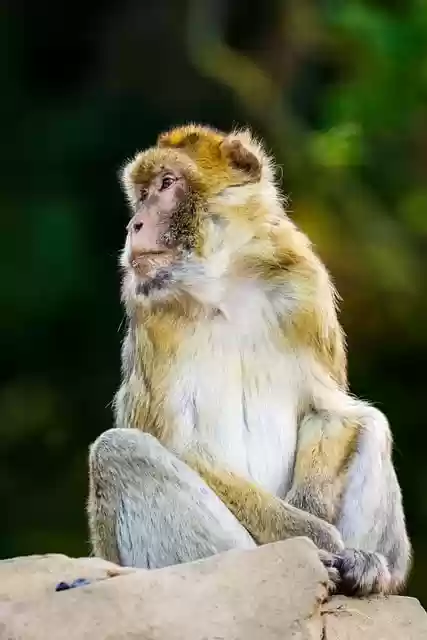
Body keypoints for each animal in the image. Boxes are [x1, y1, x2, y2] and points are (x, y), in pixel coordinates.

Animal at [87, 123, 411, 596]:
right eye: (142, 193)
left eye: (167, 184)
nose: (135, 224)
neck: (225, 286)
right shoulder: (150, 318)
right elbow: (181, 446)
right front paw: (316, 537)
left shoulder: (306, 287)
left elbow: (331, 411)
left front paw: (321, 522)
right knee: (119, 450)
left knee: (369, 422)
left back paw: (371, 571)